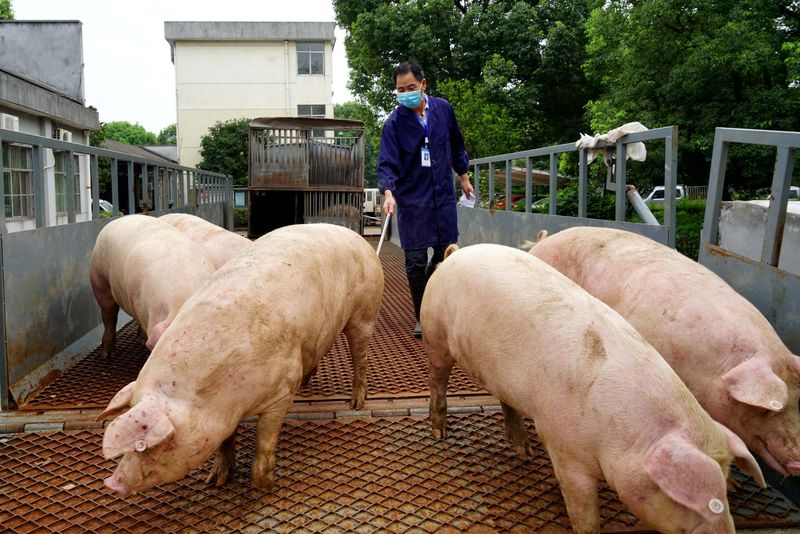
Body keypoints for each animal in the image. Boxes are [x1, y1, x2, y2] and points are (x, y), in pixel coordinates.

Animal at [97, 225, 384, 498]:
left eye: (152, 444)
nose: (112, 483)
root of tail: (357, 239)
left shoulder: (281, 392)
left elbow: (265, 441)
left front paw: (267, 487)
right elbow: (225, 441)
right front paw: (214, 481)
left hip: (365, 312)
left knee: (360, 357)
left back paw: (356, 403)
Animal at [422, 245, 764, 532]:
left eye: (725, 491)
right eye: (697, 503)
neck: (629, 436)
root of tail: (455, 253)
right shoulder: (565, 448)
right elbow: (584, 512)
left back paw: (525, 451)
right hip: (434, 334)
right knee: (437, 378)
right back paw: (440, 432)